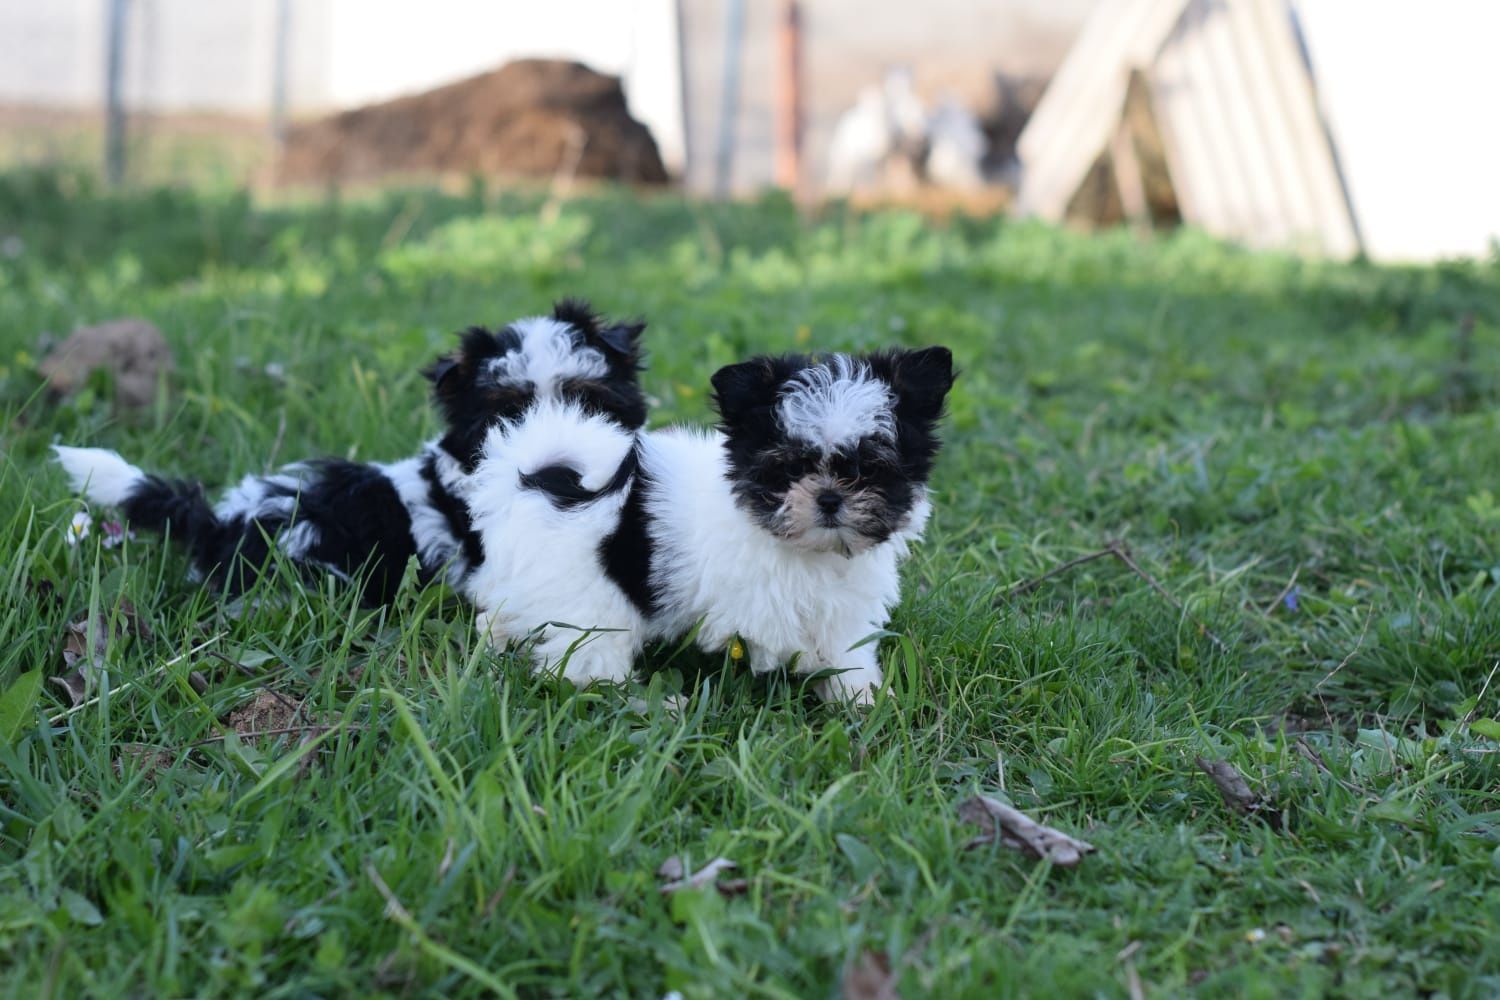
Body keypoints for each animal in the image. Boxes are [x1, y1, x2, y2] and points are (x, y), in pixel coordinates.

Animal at [468, 344, 954, 704]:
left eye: (870, 469)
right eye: (787, 470)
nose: (830, 499)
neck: (813, 552)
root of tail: (537, 478)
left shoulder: (845, 604)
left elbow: (846, 645)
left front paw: (862, 696)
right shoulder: (763, 602)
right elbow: (797, 643)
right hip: (588, 602)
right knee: (587, 661)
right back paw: (641, 698)